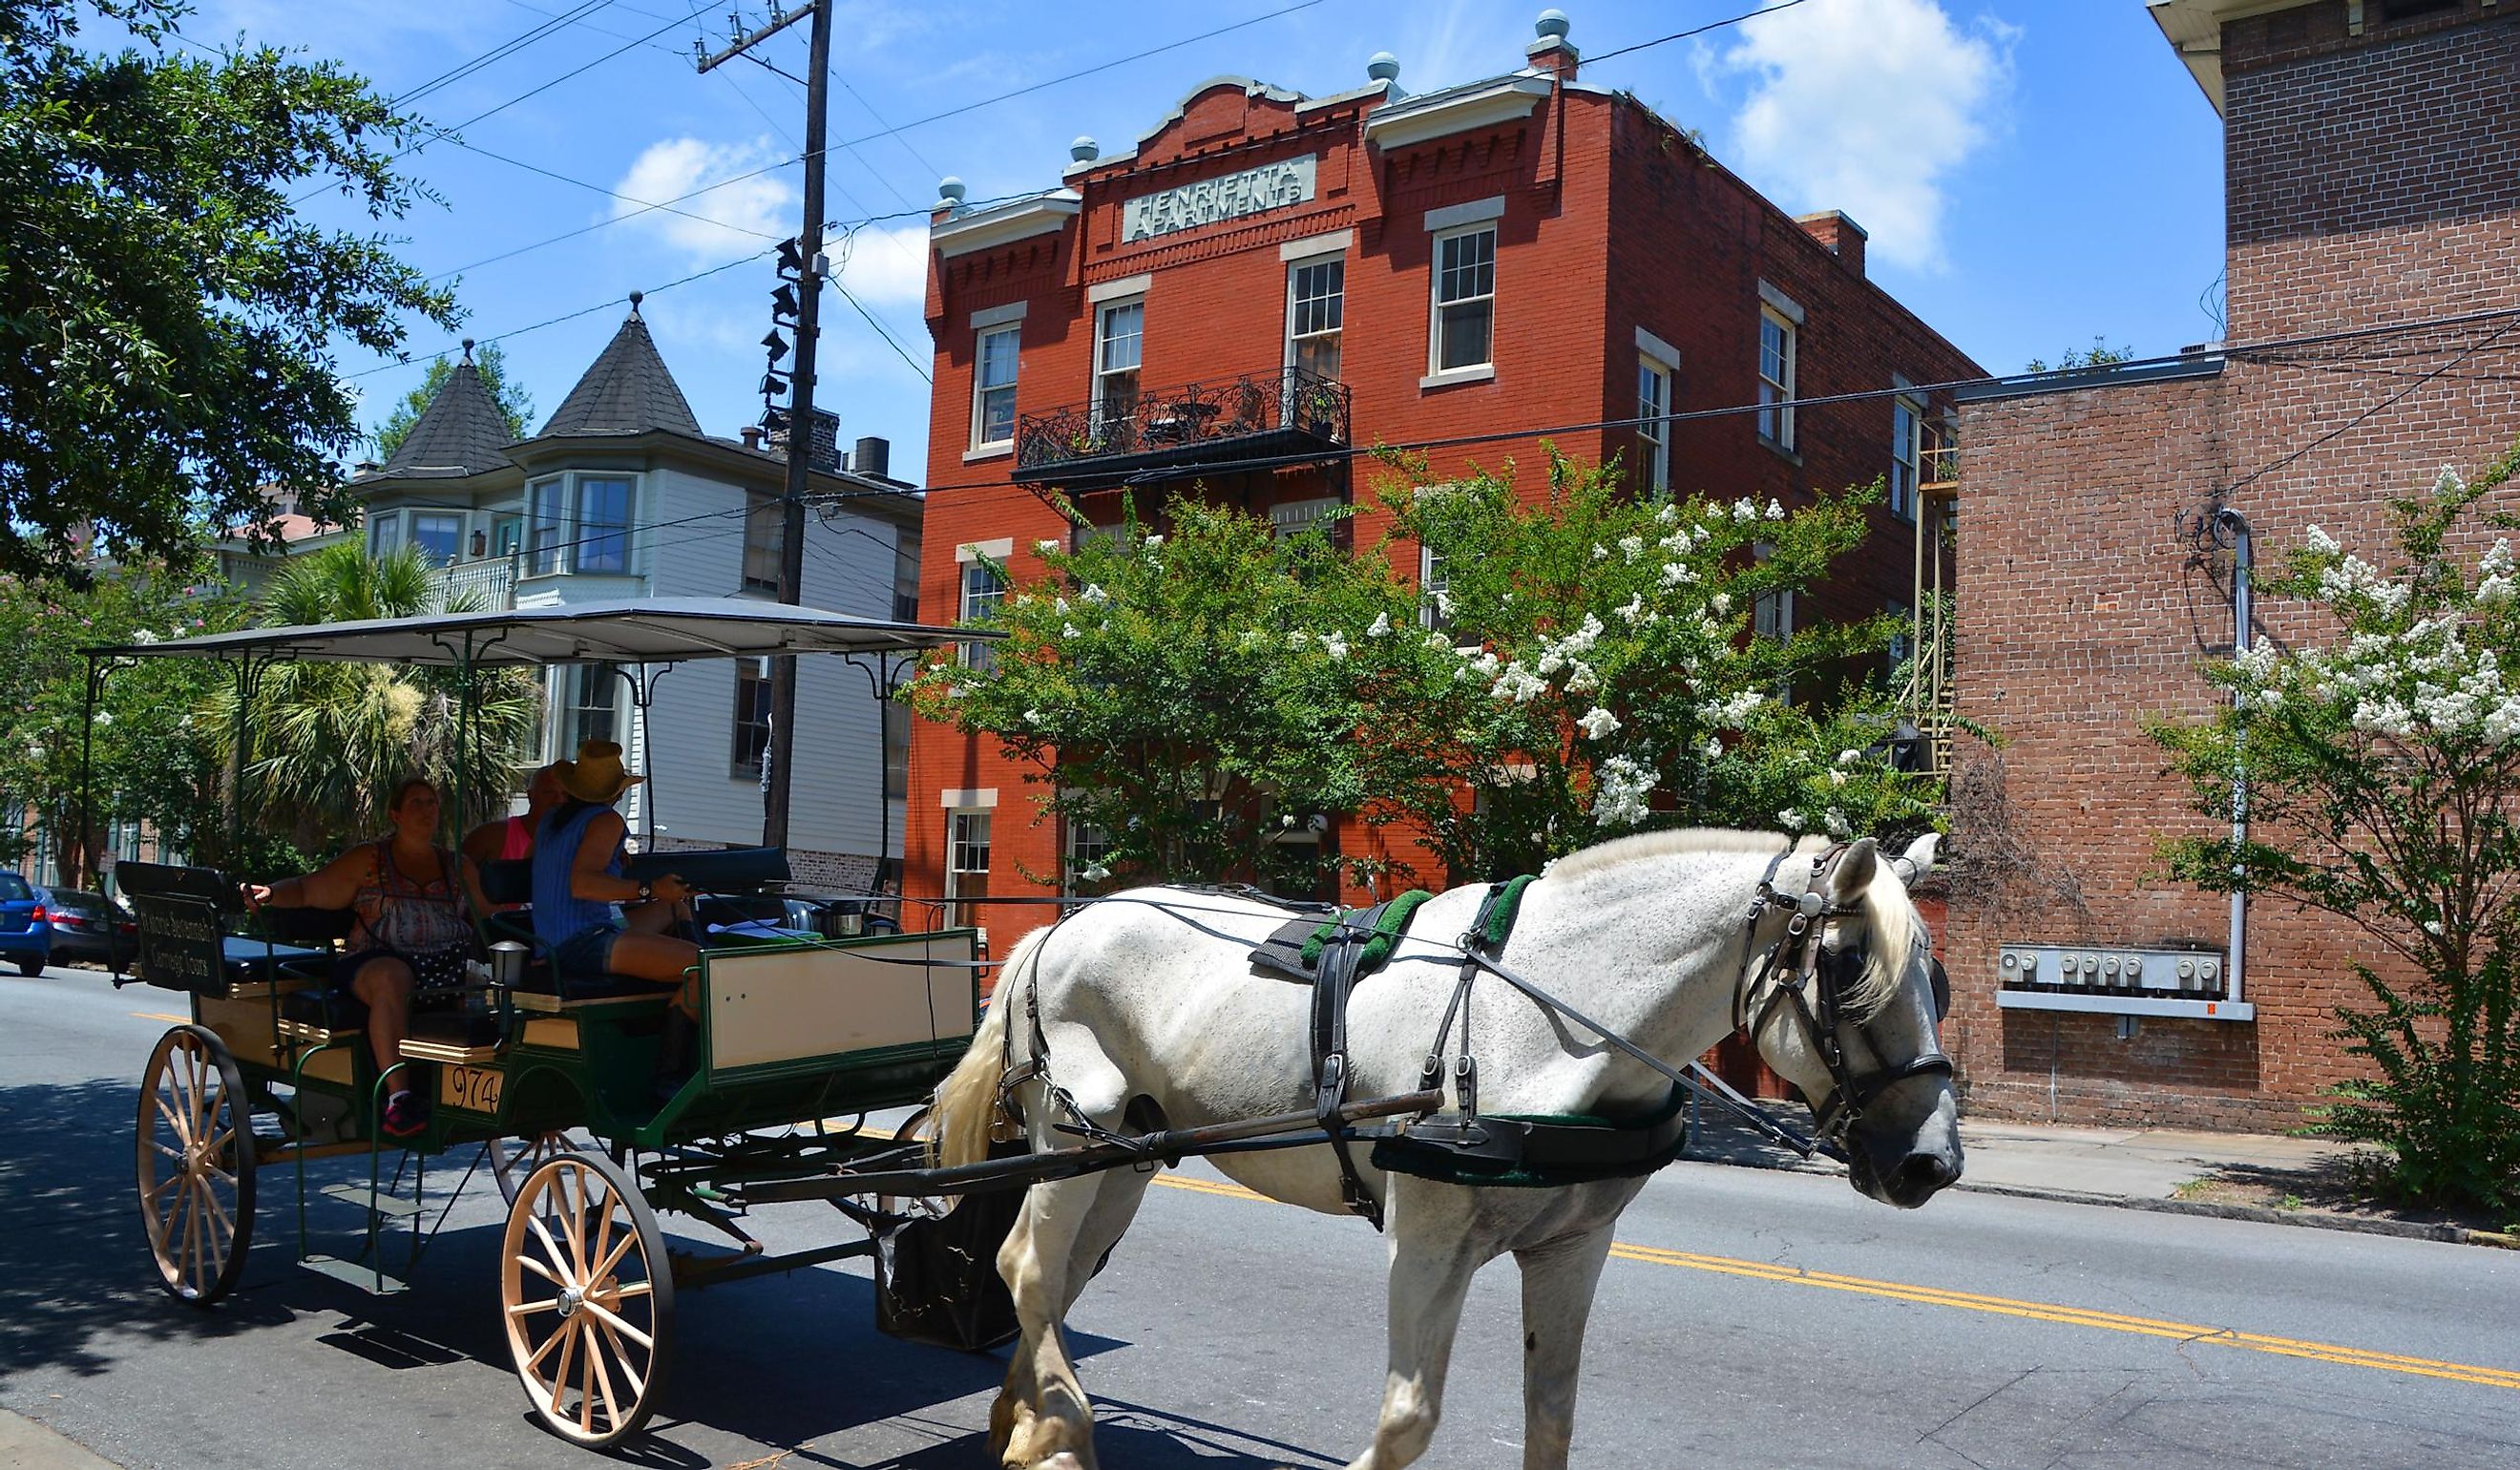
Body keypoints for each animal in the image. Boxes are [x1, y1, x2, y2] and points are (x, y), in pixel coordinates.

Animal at [937, 831, 1955, 1462]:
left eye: (1938, 978)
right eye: (1849, 968)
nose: (1933, 1162)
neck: (1543, 1019)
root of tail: (1061, 925)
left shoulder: (1572, 1247)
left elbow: (1551, 1418)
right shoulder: (1426, 1242)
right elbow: (1408, 1420)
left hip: (1124, 1153)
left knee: (1059, 1279)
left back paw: (1026, 1421)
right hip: (1072, 1126)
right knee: (1027, 1264)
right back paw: (1061, 1432)